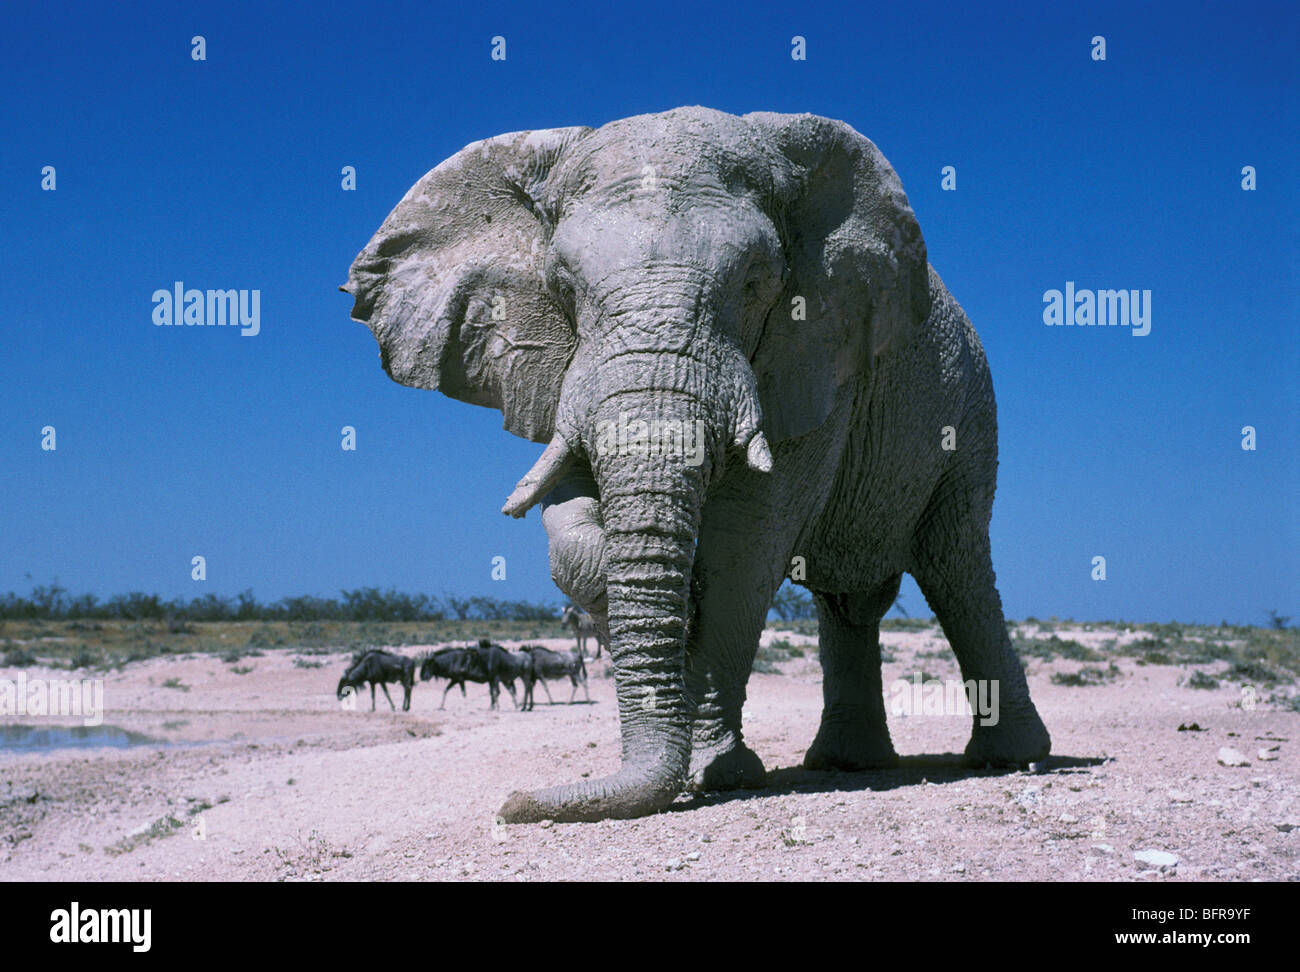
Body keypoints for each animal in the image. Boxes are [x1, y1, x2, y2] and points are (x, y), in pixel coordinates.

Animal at [340, 104, 1050, 821]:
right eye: (561, 287)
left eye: (756, 282)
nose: (513, 804)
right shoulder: (558, 370)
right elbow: (570, 516)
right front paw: (631, 587)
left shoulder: (817, 355)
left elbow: (745, 548)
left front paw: (718, 771)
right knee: (847, 602)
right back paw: (847, 763)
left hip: (969, 416)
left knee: (957, 569)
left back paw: (1011, 758)